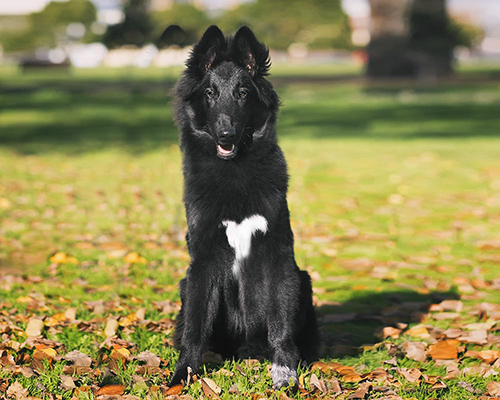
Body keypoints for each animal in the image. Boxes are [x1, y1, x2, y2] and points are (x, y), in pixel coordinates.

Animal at [170, 26, 320, 390]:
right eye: (210, 93)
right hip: (184, 284)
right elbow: (194, 326)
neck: (233, 171)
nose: (226, 134)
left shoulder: (278, 256)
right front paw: (184, 374)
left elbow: (280, 324)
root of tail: (245, 348)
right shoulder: (203, 261)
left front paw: (284, 371)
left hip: (304, 280)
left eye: (242, 93)